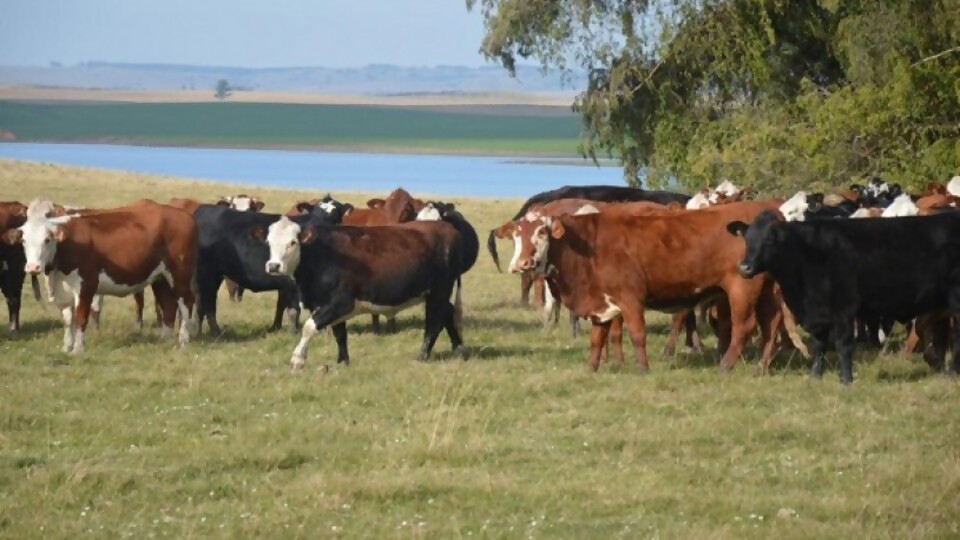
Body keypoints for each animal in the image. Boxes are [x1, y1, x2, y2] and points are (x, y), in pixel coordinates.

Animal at [2, 198, 199, 354]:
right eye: (24, 241)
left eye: (47, 239)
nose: (33, 267)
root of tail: (183, 215)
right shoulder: (62, 292)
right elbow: (67, 320)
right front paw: (66, 347)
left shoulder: (86, 286)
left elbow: (81, 318)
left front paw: (78, 349)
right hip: (160, 277)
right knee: (168, 305)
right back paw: (165, 339)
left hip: (179, 274)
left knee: (186, 302)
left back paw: (183, 340)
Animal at [262, 215, 468, 368]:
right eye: (269, 242)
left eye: (292, 242)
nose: (273, 266)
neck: (320, 254)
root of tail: (448, 228)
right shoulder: (325, 304)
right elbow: (339, 333)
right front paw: (342, 362)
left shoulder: (341, 301)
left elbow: (309, 327)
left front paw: (297, 359)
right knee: (447, 313)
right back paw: (458, 349)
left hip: (439, 290)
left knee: (434, 321)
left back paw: (422, 355)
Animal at [498, 200, 784, 374]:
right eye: (517, 234)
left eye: (542, 232)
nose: (523, 263)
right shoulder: (600, 303)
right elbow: (596, 339)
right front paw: (591, 368)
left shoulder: (630, 297)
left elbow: (637, 334)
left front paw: (642, 368)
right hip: (768, 291)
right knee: (771, 325)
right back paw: (761, 367)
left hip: (743, 287)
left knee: (744, 327)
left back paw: (725, 366)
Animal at [724, 209, 960, 382]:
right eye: (747, 240)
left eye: (770, 240)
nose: (744, 267)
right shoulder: (816, 313)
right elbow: (818, 345)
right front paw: (815, 376)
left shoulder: (844, 307)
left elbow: (843, 344)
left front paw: (846, 379)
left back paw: (951, 373)